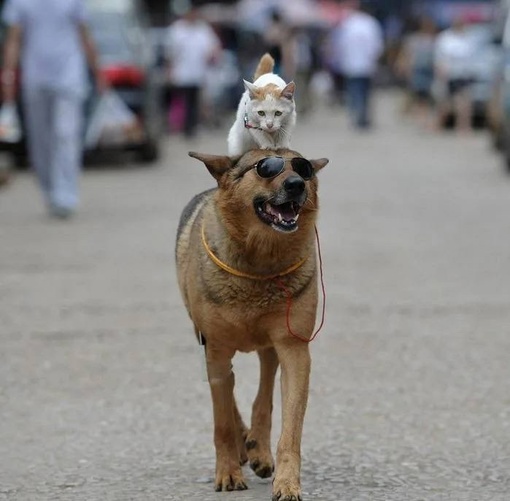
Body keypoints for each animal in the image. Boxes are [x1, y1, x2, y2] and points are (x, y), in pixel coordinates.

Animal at [174, 148, 326, 500]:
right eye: (265, 169)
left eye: (304, 169)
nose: (297, 184)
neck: (260, 264)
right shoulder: (215, 349)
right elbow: (222, 421)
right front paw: (228, 472)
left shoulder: (294, 349)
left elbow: (290, 427)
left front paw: (287, 482)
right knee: (229, 398)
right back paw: (244, 445)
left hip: (270, 344)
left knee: (265, 388)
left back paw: (258, 448)